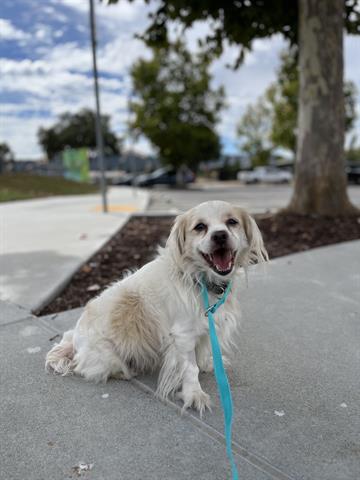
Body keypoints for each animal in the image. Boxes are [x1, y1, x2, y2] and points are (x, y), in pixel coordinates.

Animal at [46, 201, 268, 414]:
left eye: (232, 222)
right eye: (200, 227)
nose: (220, 235)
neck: (200, 280)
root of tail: (74, 339)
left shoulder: (207, 327)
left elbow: (204, 351)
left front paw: (208, 364)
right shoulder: (183, 336)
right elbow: (190, 369)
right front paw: (194, 394)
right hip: (107, 358)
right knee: (86, 369)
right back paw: (126, 372)